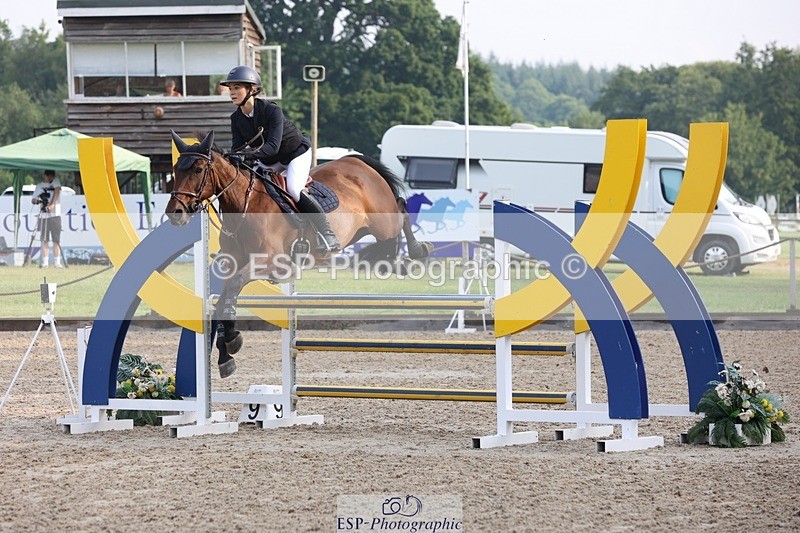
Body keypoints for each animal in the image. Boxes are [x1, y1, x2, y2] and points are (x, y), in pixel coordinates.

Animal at [166, 130, 432, 377]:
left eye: (198, 169)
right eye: (176, 170)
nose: (175, 213)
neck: (245, 203)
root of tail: (358, 163)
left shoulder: (270, 261)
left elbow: (232, 289)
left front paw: (231, 340)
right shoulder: (234, 264)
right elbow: (222, 302)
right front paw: (225, 357)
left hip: (384, 222)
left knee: (401, 209)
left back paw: (418, 250)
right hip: (363, 231)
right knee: (386, 241)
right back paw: (394, 262)